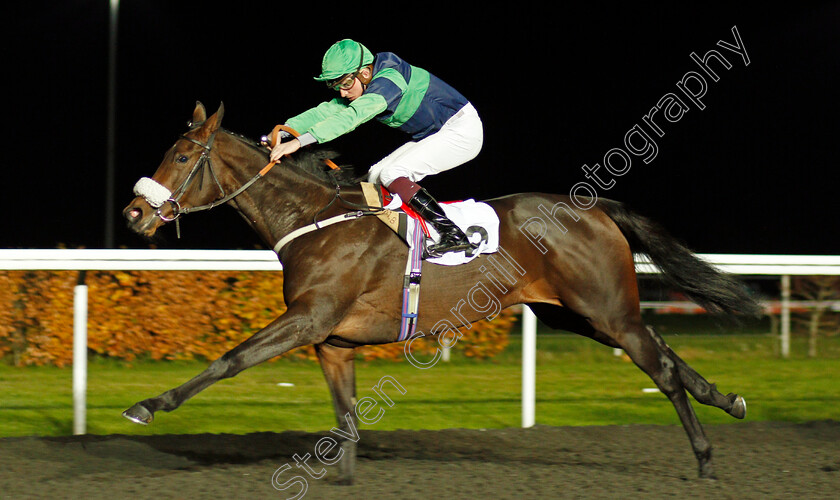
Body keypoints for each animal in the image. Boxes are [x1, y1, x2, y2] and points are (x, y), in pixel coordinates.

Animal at [123, 100, 760, 480]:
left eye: (182, 154)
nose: (134, 213)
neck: (313, 219)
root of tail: (597, 207)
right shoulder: (333, 341)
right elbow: (346, 415)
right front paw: (343, 475)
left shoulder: (309, 318)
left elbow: (229, 360)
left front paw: (149, 405)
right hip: (577, 314)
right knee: (662, 348)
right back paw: (727, 399)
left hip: (604, 309)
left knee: (662, 368)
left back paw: (705, 458)